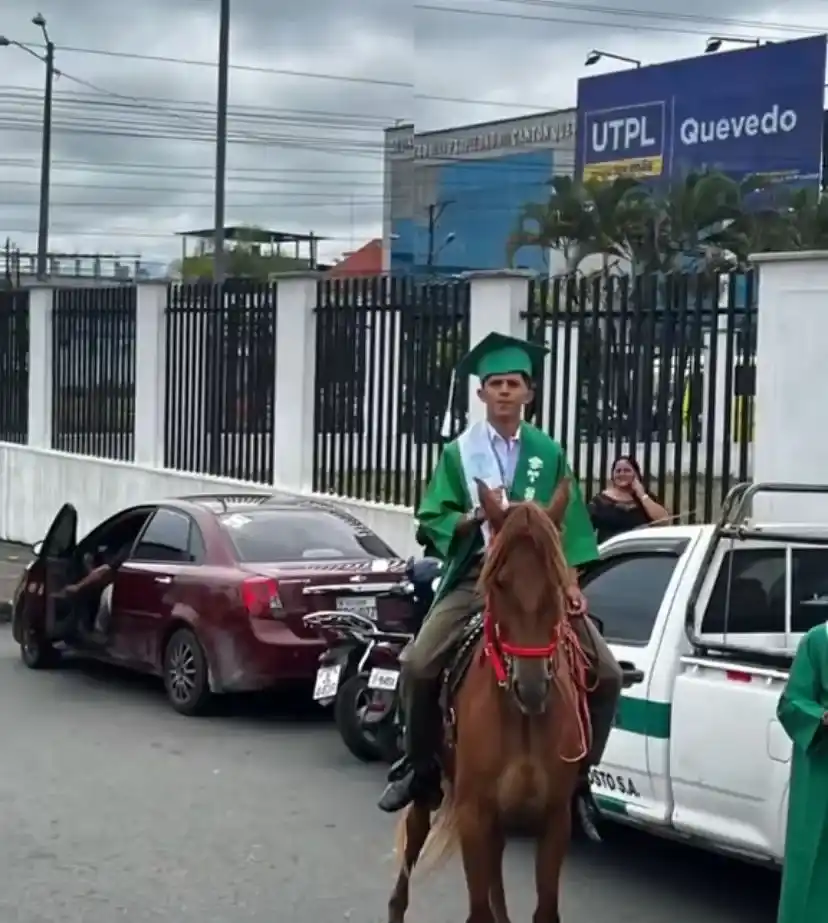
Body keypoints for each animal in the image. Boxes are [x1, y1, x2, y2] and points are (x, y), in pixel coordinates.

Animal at [384, 476, 592, 923]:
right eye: (499, 581)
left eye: (557, 580)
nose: (531, 687)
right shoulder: (474, 816)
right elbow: (479, 910)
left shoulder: (554, 821)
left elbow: (544, 910)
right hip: (432, 789)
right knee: (413, 842)